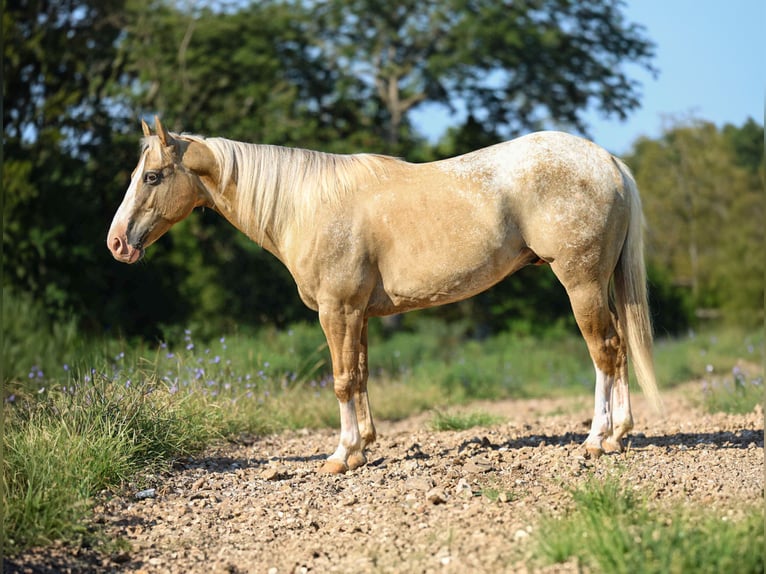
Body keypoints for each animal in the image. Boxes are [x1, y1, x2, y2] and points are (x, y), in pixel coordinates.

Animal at [108, 116, 661, 473]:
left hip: (581, 282)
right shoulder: (360, 314)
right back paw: (618, 435)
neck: (306, 205)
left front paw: (340, 456)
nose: (116, 244)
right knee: (616, 351)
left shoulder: (337, 310)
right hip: (599, 285)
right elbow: (362, 374)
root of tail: (607, 161)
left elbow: (341, 380)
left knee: (604, 352)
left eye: (152, 176)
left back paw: (598, 440)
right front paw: (364, 446)